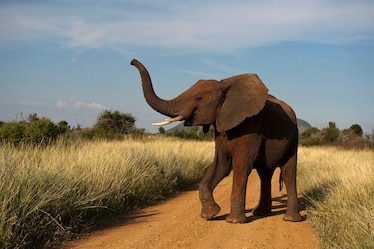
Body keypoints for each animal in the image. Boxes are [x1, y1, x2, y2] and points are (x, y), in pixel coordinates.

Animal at [131, 58, 304, 224]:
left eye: (198, 98)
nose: (132, 61)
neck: (224, 87)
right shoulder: (220, 127)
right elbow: (221, 165)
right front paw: (210, 214)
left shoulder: (253, 126)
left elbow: (241, 166)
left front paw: (234, 221)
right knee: (265, 173)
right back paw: (260, 213)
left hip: (294, 137)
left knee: (288, 172)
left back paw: (290, 219)